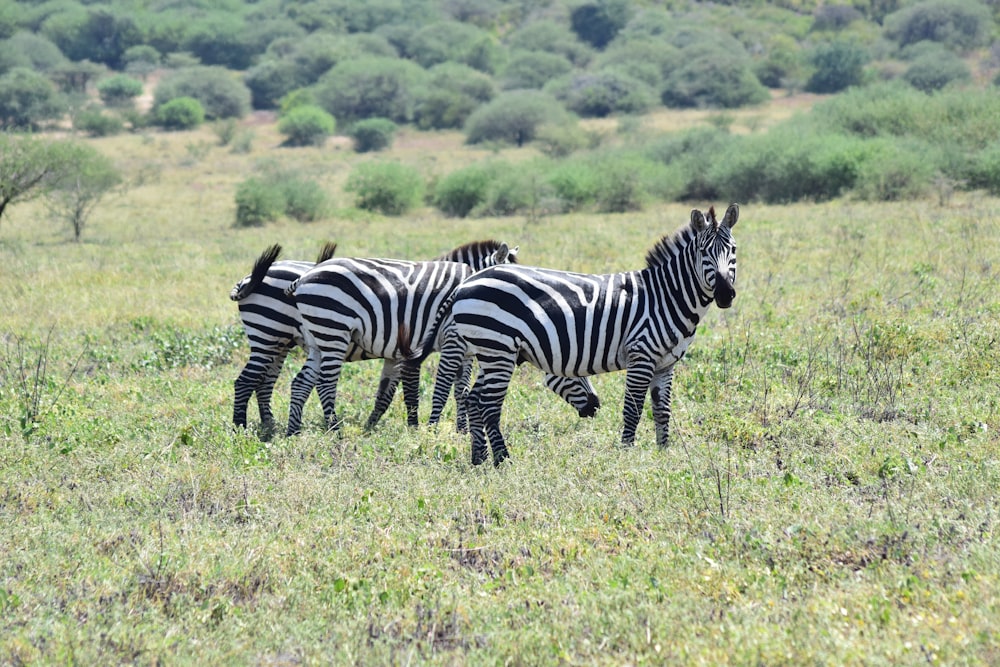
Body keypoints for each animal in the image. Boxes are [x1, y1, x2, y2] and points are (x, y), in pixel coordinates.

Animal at [229, 243, 336, 430]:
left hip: (279, 342)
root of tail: (245, 281)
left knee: (264, 382)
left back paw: (269, 423)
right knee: (245, 381)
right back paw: (240, 426)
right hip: (266, 335)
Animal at [402, 201, 740, 468]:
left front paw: (663, 453)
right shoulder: (641, 354)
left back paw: (479, 458)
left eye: (734, 251)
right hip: (498, 350)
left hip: (491, 351)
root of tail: (468, 280)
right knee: (488, 404)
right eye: (704, 252)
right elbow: (632, 409)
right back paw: (501, 459)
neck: (665, 297)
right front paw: (627, 453)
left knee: (474, 399)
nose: (726, 295)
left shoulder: (666, 364)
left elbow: (663, 410)